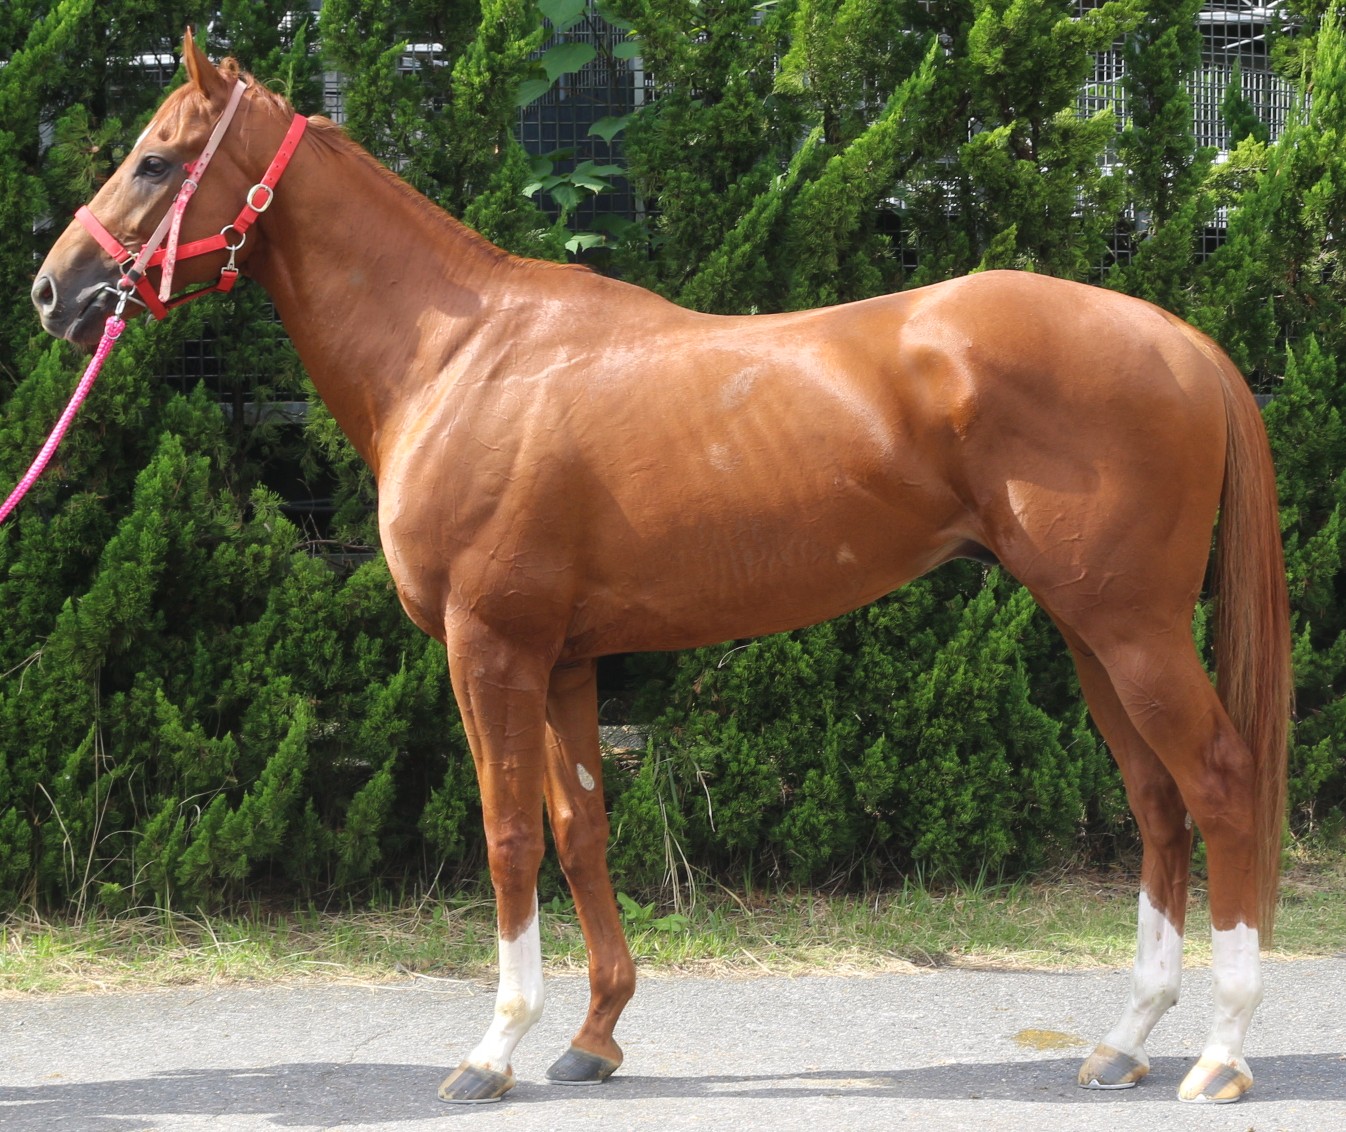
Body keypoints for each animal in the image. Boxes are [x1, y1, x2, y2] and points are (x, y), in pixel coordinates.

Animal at [31, 32, 1290, 1105]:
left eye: (154, 158)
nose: (53, 290)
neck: (462, 355)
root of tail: (1178, 339)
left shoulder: (489, 649)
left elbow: (505, 835)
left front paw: (493, 1048)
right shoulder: (564, 661)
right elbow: (580, 829)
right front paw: (593, 1037)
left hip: (1127, 628)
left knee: (1219, 784)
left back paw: (1218, 1054)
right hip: (1088, 632)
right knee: (1155, 802)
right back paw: (1123, 1040)